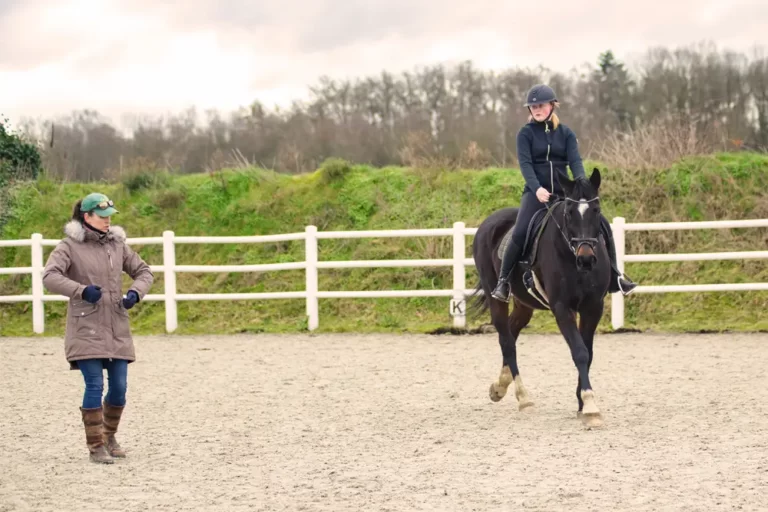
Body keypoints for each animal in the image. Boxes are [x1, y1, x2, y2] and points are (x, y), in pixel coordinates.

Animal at [468, 168, 612, 428]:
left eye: (596, 210)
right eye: (569, 212)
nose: (586, 258)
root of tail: (489, 222)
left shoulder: (593, 307)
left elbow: (588, 353)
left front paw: (582, 404)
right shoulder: (562, 308)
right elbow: (580, 352)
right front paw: (590, 407)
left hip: (524, 304)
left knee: (512, 332)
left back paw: (500, 385)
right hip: (497, 297)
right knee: (506, 341)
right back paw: (523, 398)